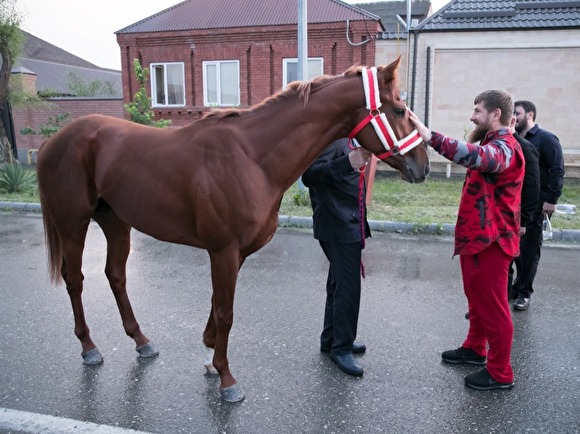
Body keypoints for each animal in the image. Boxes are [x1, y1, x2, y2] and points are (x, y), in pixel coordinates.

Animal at [35, 56, 426, 402]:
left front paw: (210, 356)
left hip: (116, 222)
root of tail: (53, 141)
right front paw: (226, 378)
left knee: (115, 275)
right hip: (73, 224)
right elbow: (226, 312)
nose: (421, 165)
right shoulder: (223, 250)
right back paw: (89, 347)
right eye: (399, 111)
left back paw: (141, 341)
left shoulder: (235, 253)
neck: (252, 156)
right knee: (75, 280)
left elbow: (216, 305)